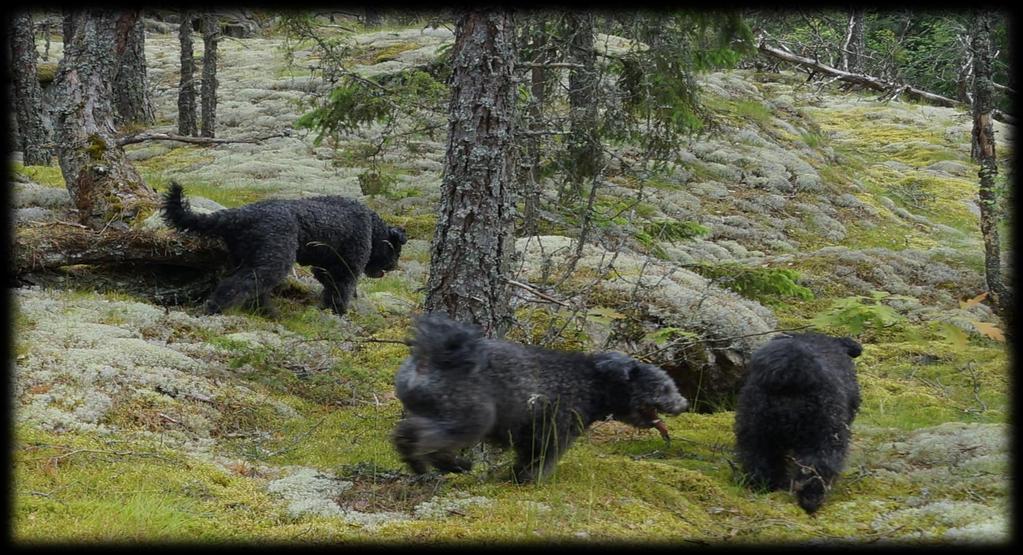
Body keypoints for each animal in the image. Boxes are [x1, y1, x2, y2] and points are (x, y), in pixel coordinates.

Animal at [159, 183, 403, 316]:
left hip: (249, 259)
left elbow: (329, 287)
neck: (371, 225)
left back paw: (267, 312)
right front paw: (339, 312)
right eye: (396, 250)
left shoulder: (324, 267)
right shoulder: (347, 267)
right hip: (274, 260)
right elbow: (341, 290)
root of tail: (240, 215)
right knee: (236, 285)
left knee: (254, 290)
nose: (393, 267)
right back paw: (216, 307)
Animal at [390, 314, 687, 484]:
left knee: (407, 432)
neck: (591, 382)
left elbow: (526, 459)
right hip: (473, 416)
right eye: (664, 388)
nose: (684, 404)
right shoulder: (554, 429)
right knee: (427, 438)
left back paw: (423, 464)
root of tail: (435, 356)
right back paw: (452, 464)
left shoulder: (531, 433)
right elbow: (540, 459)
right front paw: (529, 481)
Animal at [736, 333, 863, 515]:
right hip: (824, 435)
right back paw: (811, 500)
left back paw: (765, 487)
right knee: (816, 468)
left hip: (756, 430)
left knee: (759, 460)